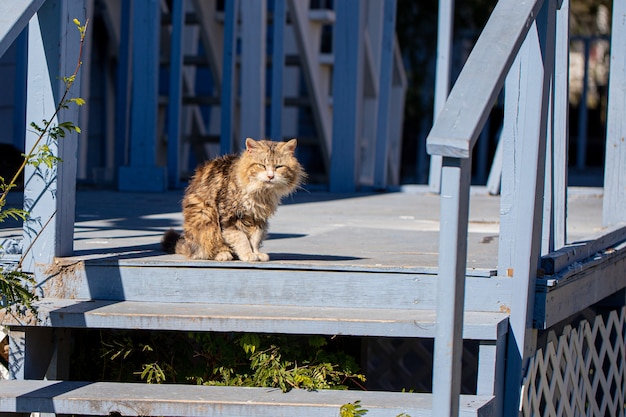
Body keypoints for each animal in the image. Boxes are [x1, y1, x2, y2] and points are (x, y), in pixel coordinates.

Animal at [161, 137, 304, 260]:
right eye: (261, 165)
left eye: (279, 167)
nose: (270, 176)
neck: (260, 193)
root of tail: (188, 245)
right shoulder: (230, 217)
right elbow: (242, 240)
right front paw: (248, 255)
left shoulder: (258, 220)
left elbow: (255, 240)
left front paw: (256, 254)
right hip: (206, 219)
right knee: (205, 251)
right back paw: (223, 254)